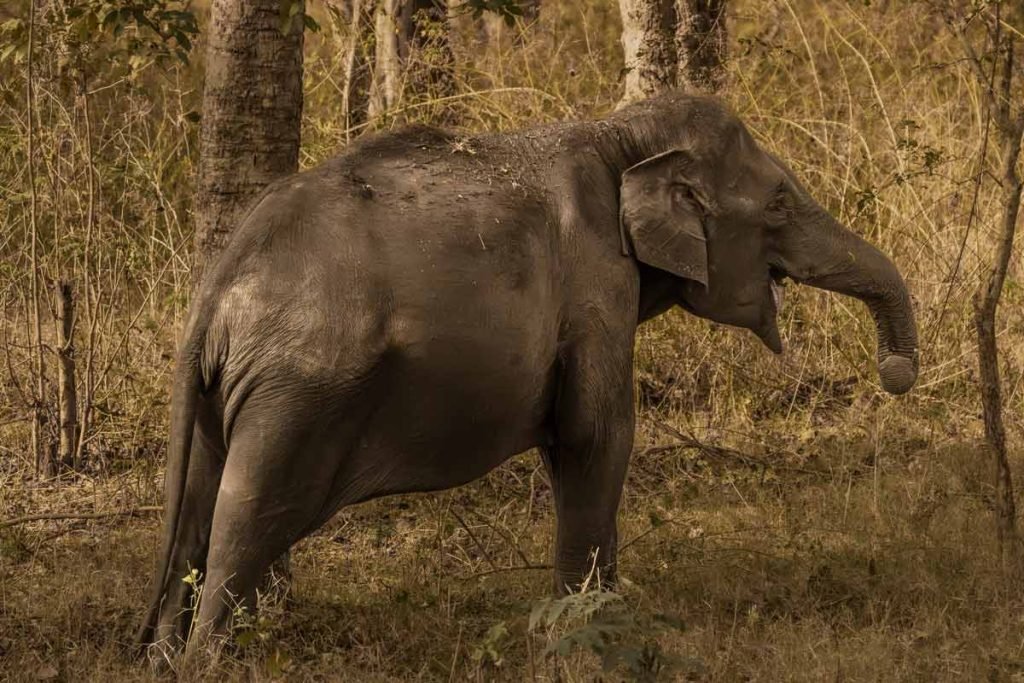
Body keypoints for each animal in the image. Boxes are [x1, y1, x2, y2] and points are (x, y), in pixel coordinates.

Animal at [137, 92, 918, 654]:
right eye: (779, 200)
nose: (895, 371)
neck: (618, 135)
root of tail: (216, 290)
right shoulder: (597, 280)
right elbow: (597, 434)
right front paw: (596, 633)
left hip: (222, 396)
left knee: (200, 508)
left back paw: (167, 655)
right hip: (296, 391)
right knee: (247, 513)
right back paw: (211, 659)